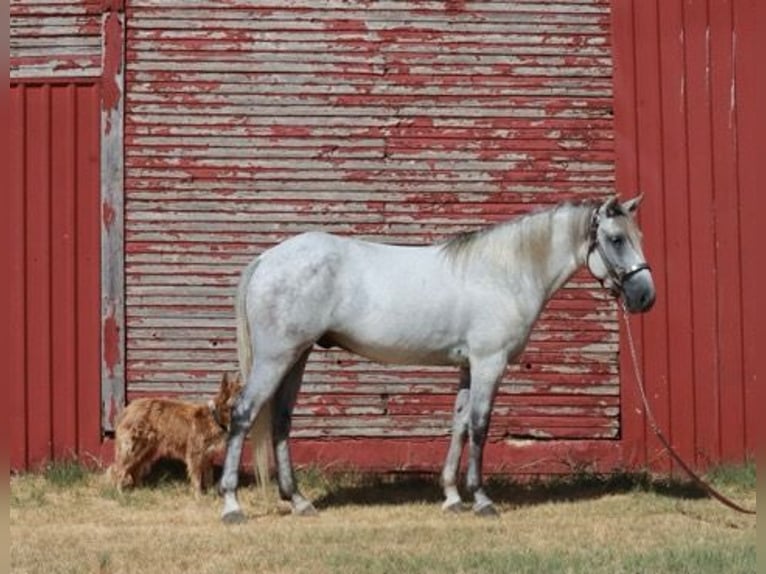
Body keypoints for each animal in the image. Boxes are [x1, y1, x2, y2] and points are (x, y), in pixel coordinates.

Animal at [219, 195, 655, 522]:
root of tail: (268, 259)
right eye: (616, 238)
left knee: (280, 419)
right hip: (276, 357)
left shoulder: (467, 366)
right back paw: (231, 505)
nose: (645, 297)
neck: (504, 271)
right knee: (243, 414)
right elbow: (479, 425)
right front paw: (482, 499)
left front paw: (452, 497)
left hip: (297, 355)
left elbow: (458, 424)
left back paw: (298, 500)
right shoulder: (489, 363)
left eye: (638, 235)